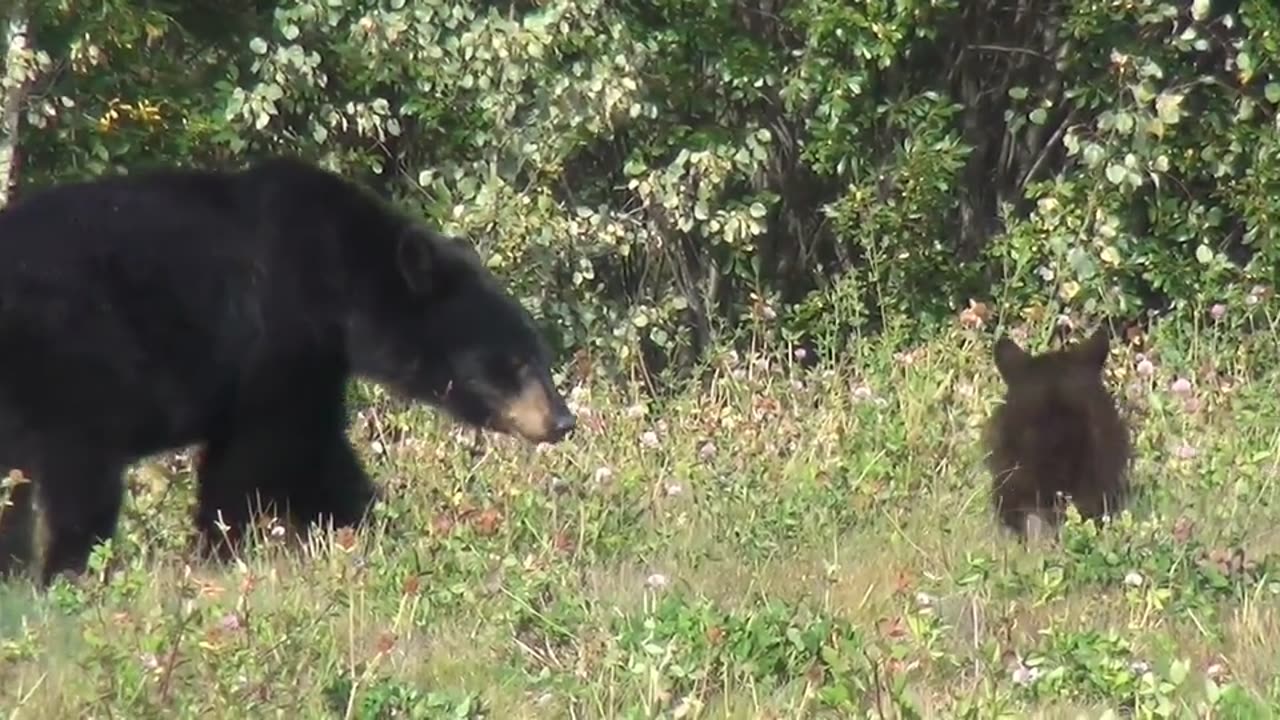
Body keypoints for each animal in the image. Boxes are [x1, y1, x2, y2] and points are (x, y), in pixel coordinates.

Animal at [0, 156, 576, 584]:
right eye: (516, 361)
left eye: (540, 355)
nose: (562, 421)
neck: (344, 283)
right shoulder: (281, 333)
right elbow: (268, 451)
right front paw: (219, 551)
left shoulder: (314, 359)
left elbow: (317, 452)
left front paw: (372, 527)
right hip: (73, 365)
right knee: (81, 481)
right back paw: (67, 574)